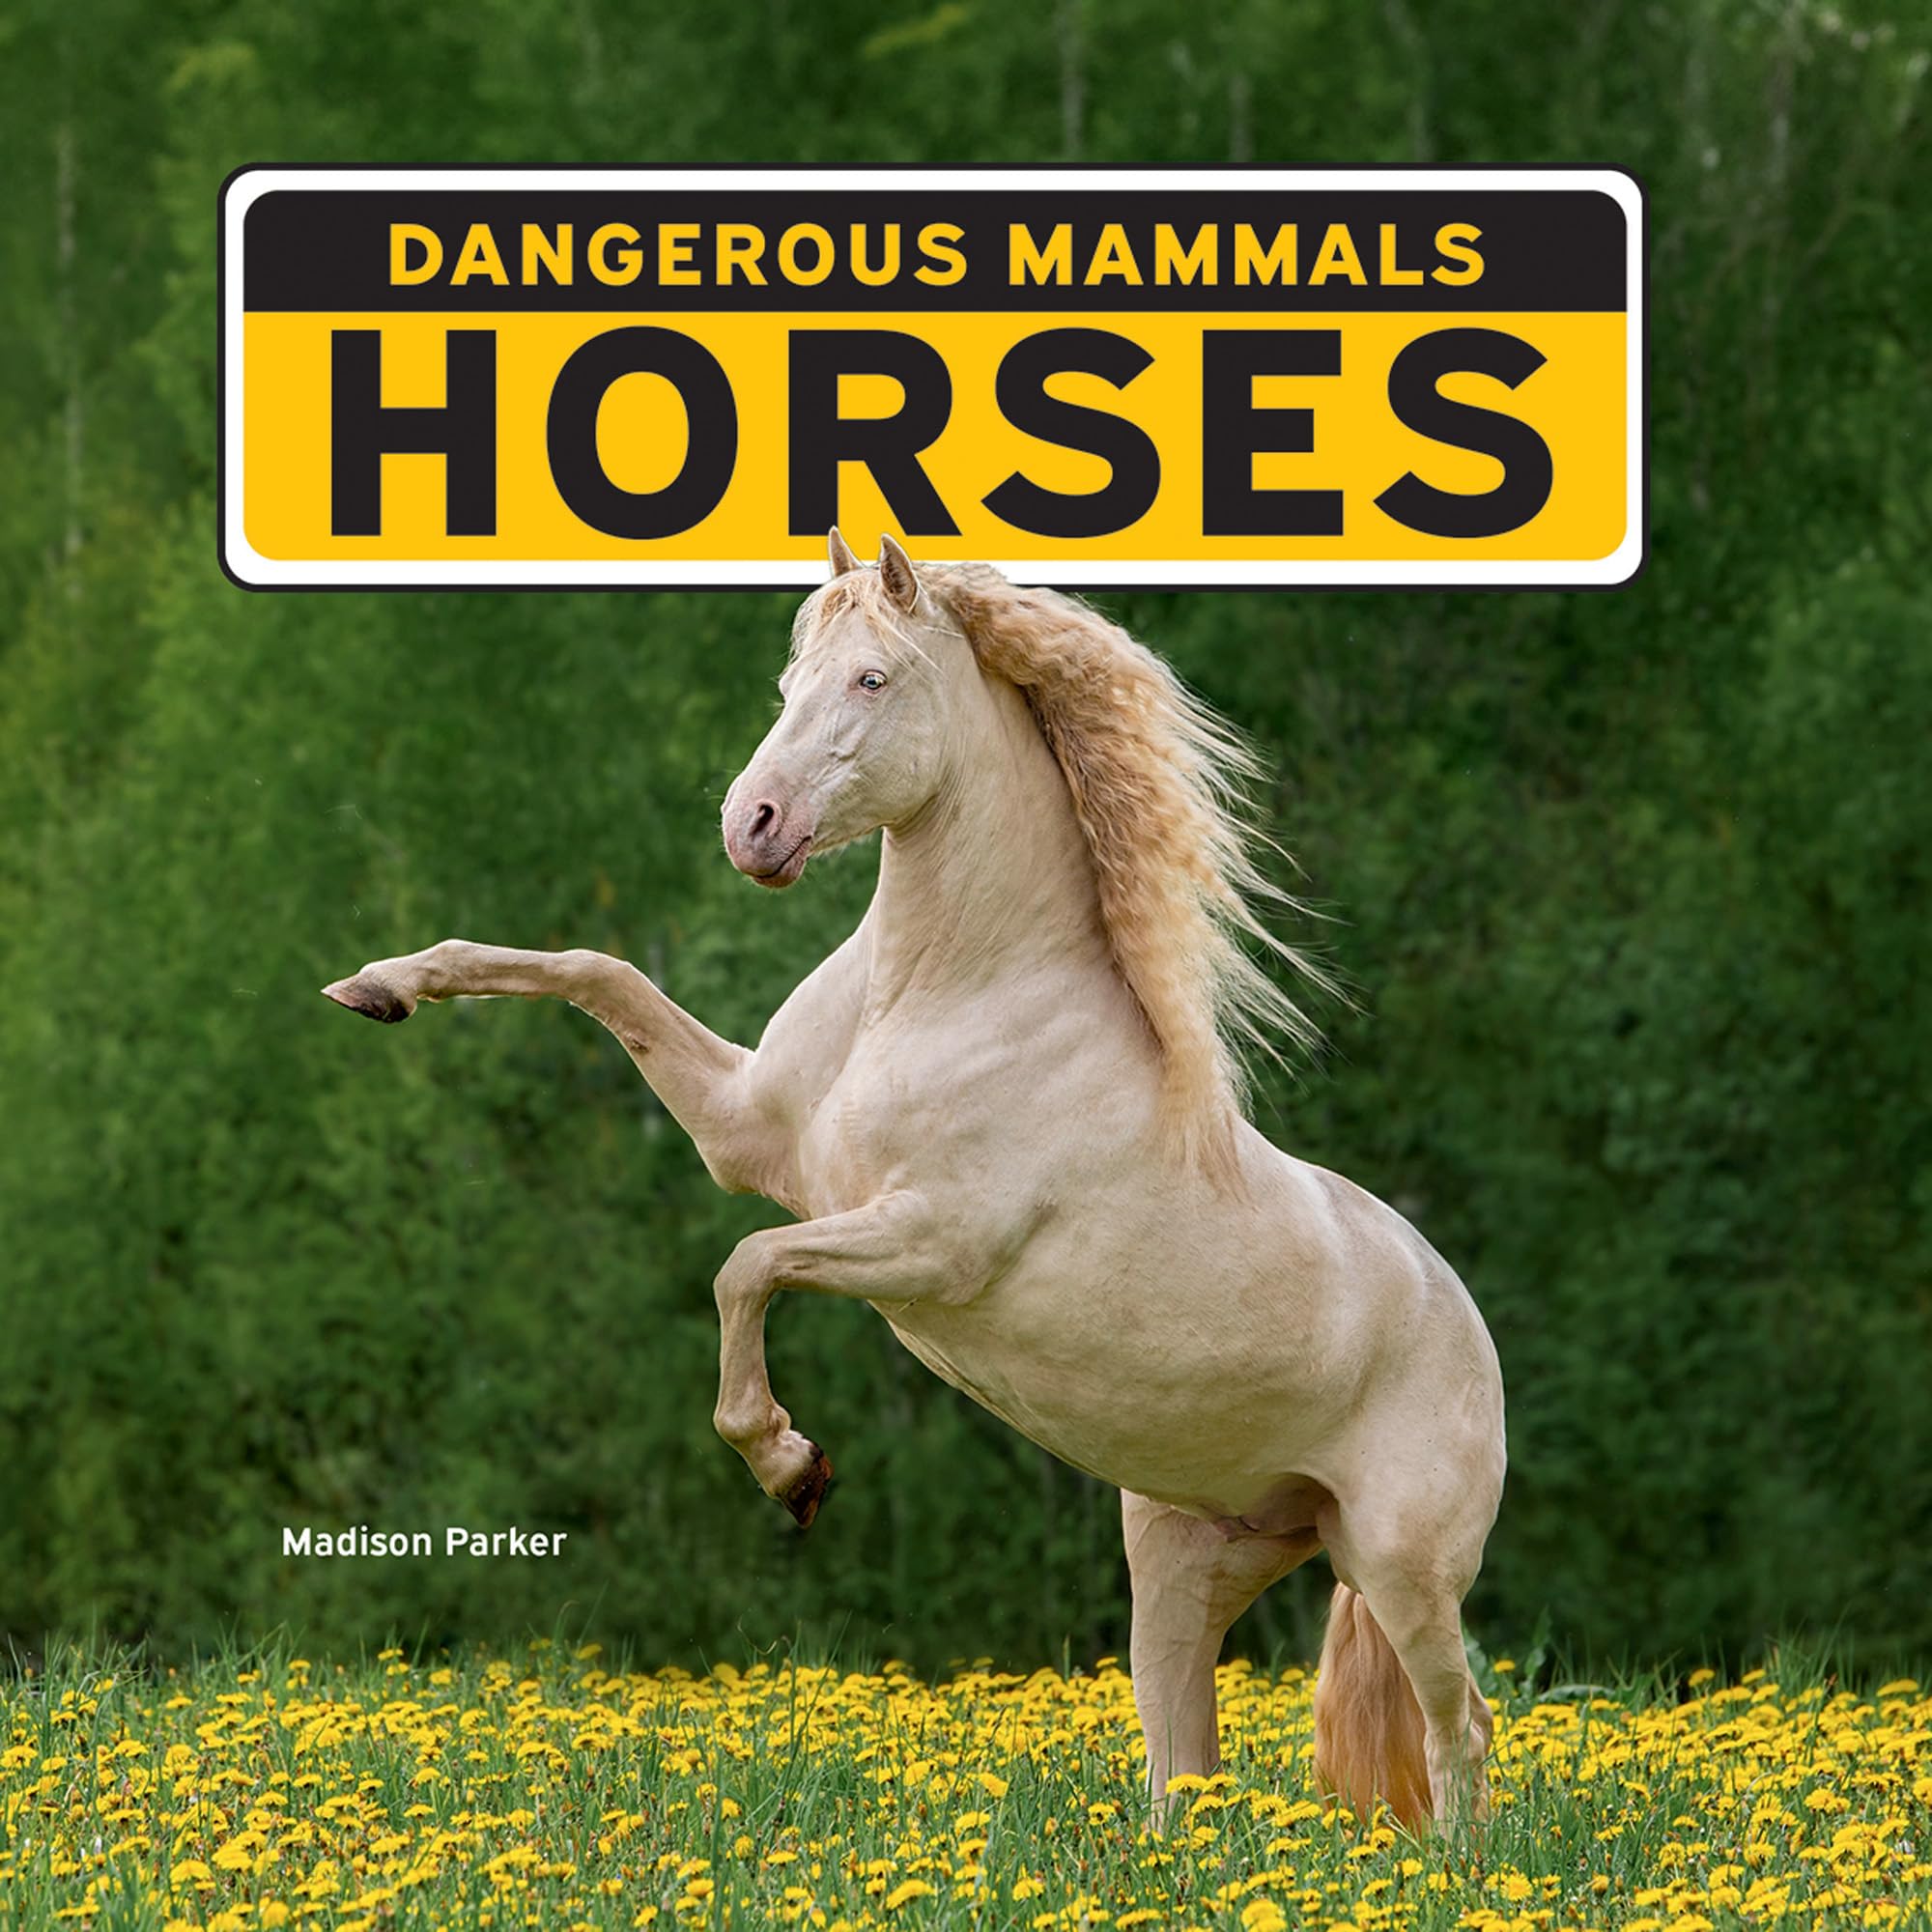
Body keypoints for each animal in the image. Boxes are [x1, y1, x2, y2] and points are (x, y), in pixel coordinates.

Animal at [322, 531, 1506, 1831]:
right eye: (788, 679)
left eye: (872, 678)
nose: (752, 824)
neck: (938, 994)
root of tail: (1460, 1314)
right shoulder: (748, 1133)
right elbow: (595, 972)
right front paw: (380, 985)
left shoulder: (927, 1245)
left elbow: (745, 1265)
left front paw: (791, 1469)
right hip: (1187, 1560)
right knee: (1184, 1759)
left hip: (1396, 1563)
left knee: (1455, 1724)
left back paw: (1453, 1861)